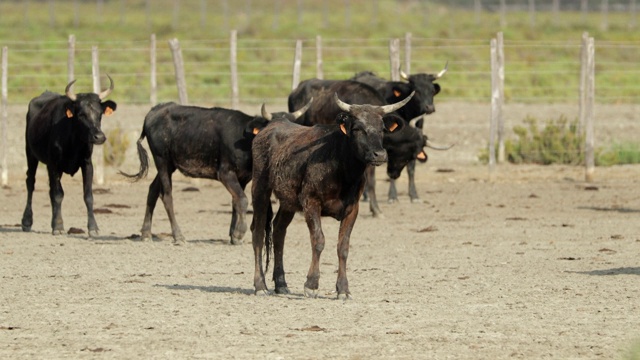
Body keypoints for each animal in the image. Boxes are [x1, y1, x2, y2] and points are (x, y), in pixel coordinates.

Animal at [20, 75, 118, 236]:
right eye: (81, 114)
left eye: (100, 114)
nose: (99, 137)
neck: (73, 141)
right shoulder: (53, 164)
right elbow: (58, 194)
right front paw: (58, 226)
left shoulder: (87, 164)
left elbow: (88, 196)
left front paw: (93, 227)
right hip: (31, 154)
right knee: (31, 182)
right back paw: (27, 221)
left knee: (49, 190)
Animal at [120, 100, 312, 245]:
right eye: (271, 127)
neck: (245, 138)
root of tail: (155, 110)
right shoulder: (225, 173)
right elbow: (242, 200)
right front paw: (239, 233)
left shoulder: (243, 177)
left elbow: (236, 201)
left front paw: (233, 234)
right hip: (162, 160)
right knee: (166, 195)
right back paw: (178, 235)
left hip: (169, 165)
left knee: (152, 190)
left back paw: (146, 233)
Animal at [251, 92, 416, 298]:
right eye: (357, 128)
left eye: (382, 128)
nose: (379, 154)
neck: (343, 170)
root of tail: (269, 128)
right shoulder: (311, 202)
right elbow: (318, 240)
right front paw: (311, 284)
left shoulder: (352, 209)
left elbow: (343, 247)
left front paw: (343, 289)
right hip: (260, 189)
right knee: (258, 233)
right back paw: (260, 285)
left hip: (288, 201)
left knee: (279, 231)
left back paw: (281, 283)